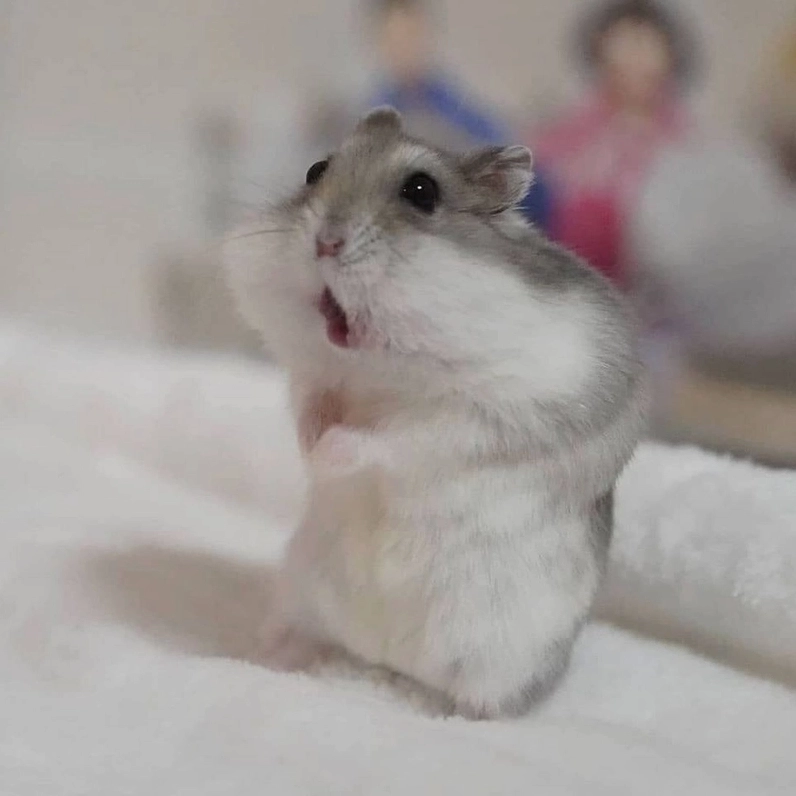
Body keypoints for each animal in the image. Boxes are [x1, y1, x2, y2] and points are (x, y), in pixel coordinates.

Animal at [225, 107, 645, 718]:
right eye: (315, 170)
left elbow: (396, 438)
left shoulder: (480, 419)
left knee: (474, 702)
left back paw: (430, 708)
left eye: (421, 191)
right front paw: (312, 448)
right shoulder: (312, 377)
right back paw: (268, 656)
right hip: (298, 591)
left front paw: (329, 454)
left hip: (502, 657)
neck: (381, 369)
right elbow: (311, 405)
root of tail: (382, 656)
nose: (325, 242)